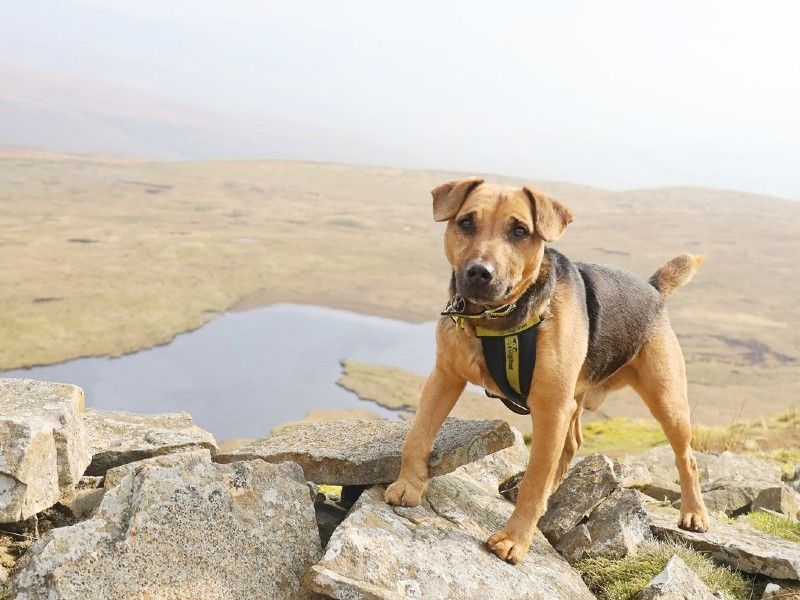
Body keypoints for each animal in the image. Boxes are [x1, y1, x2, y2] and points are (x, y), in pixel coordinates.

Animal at [384, 177, 708, 564]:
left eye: (520, 230)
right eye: (466, 222)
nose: (479, 272)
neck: (498, 318)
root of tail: (653, 288)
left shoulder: (550, 408)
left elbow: (534, 483)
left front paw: (514, 540)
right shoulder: (444, 378)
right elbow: (417, 437)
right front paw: (408, 486)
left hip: (667, 401)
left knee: (686, 457)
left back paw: (694, 513)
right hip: (575, 397)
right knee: (570, 445)